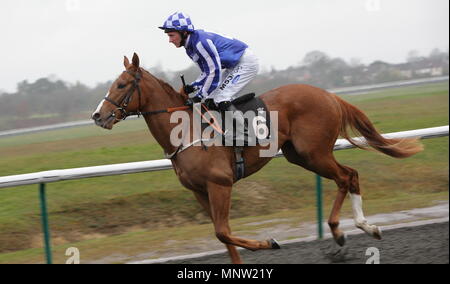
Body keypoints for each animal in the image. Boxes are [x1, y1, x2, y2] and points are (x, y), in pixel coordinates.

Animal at [90, 53, 422, 264]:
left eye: (121, 85)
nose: (97, 116)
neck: (186, 132)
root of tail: (328, 95)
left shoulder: (220, 183)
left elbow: (223, 231)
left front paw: (269, 242)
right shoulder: (199, 191)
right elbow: (223, 237)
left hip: (314, 152)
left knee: (346, 176)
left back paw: (345, 233)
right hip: (300, 156)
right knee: (349, 174)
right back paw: (361, 229)